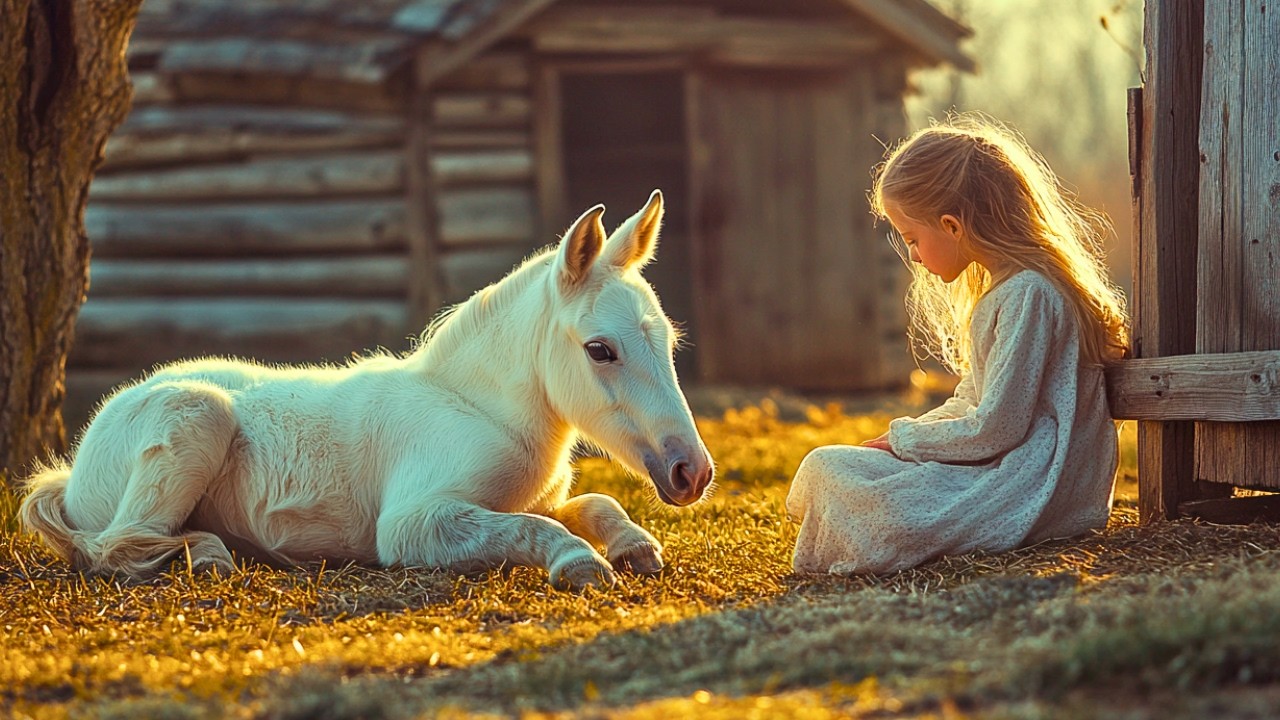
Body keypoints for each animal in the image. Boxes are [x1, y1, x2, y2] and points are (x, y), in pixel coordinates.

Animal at [19, 189, 714, 590]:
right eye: (601, 349)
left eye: (669, 340)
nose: (692, 472)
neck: (482, 410)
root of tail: (73, 471)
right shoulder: (411, 524)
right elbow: (531, 528)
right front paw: (581, 564)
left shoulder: (538, 498)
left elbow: (593, 503)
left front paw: (636, 546)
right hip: (196, 416)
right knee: (115, 545)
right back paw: (215, 557)